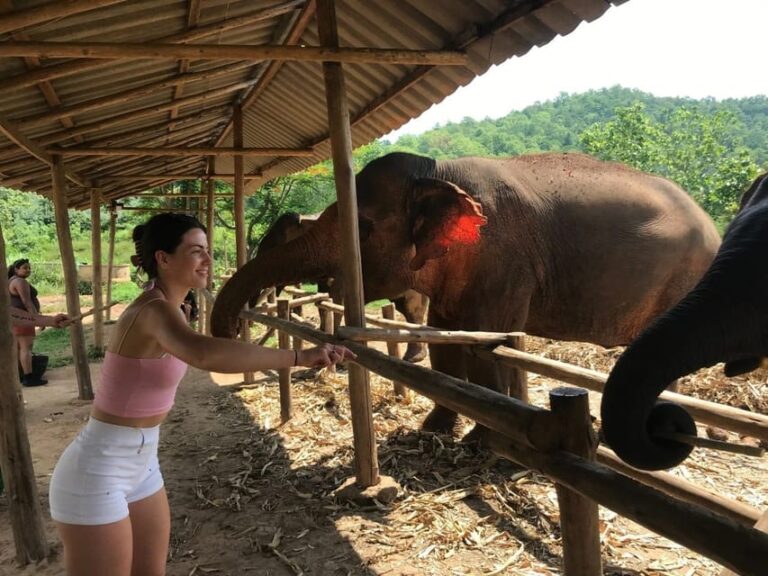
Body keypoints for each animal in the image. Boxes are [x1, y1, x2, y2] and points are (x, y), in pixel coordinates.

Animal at [255, 209, 428, 362]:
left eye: (278, 247)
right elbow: (323, 300)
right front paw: (322, 334)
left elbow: (337, 298)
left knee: (412, 309)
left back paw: (413, 358)